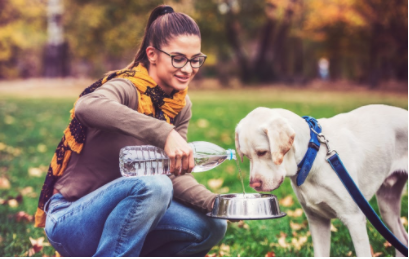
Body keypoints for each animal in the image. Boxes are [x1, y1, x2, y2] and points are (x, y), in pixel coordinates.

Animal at [234, 104, 406, 256]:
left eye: (262, 152)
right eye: (247, 156)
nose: (254, 184)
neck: (312, 156)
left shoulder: (355, 220)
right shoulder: (317, 221)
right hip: (386, 208)